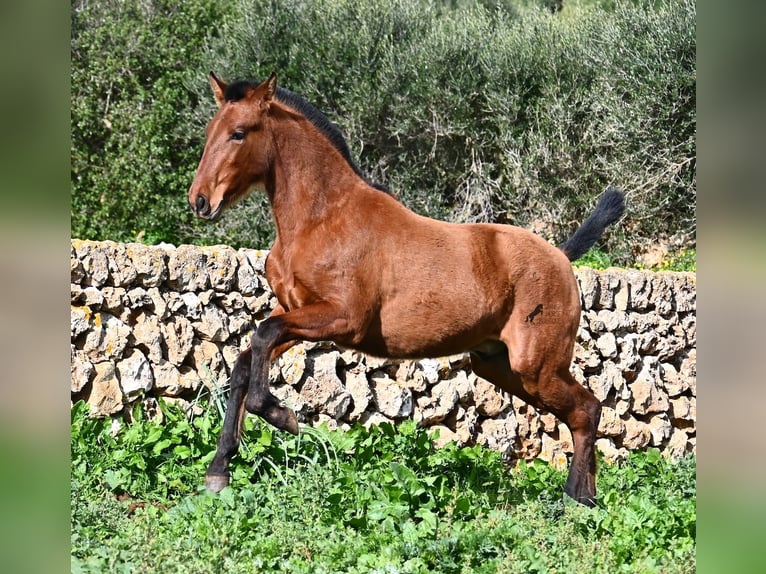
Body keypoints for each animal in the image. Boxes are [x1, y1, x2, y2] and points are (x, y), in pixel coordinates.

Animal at [189, 72, 628, 508]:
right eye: (209, 131)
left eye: (239, 133)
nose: (200, 201)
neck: (323, 218)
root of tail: (562, 257)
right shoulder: (295, 312)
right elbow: (246, 361)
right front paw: (219, 471)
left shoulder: (342, 319)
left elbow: (262, 336)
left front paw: (283, 416)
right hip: (497, 364)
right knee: (583, 411)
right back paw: (585, 499)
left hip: (536, 367)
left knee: (587, 409)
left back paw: (577, 501)